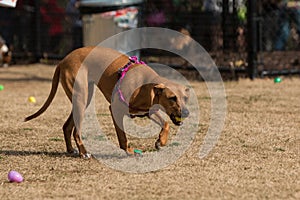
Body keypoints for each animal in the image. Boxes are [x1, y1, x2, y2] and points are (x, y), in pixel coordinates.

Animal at [25, 47, 190, 158]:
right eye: (172, 98)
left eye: (185, 98)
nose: (187, 113)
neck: (145, 85)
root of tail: (63, 60)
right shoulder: (115, 109)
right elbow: (122, 136)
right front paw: (129, 150)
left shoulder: (148, 111)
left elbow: (166, 123)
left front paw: (160, 141)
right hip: (81, 98)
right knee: (76, 132)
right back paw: (84, 153)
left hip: (83, 100)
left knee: (67, 126)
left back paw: (71, 150)